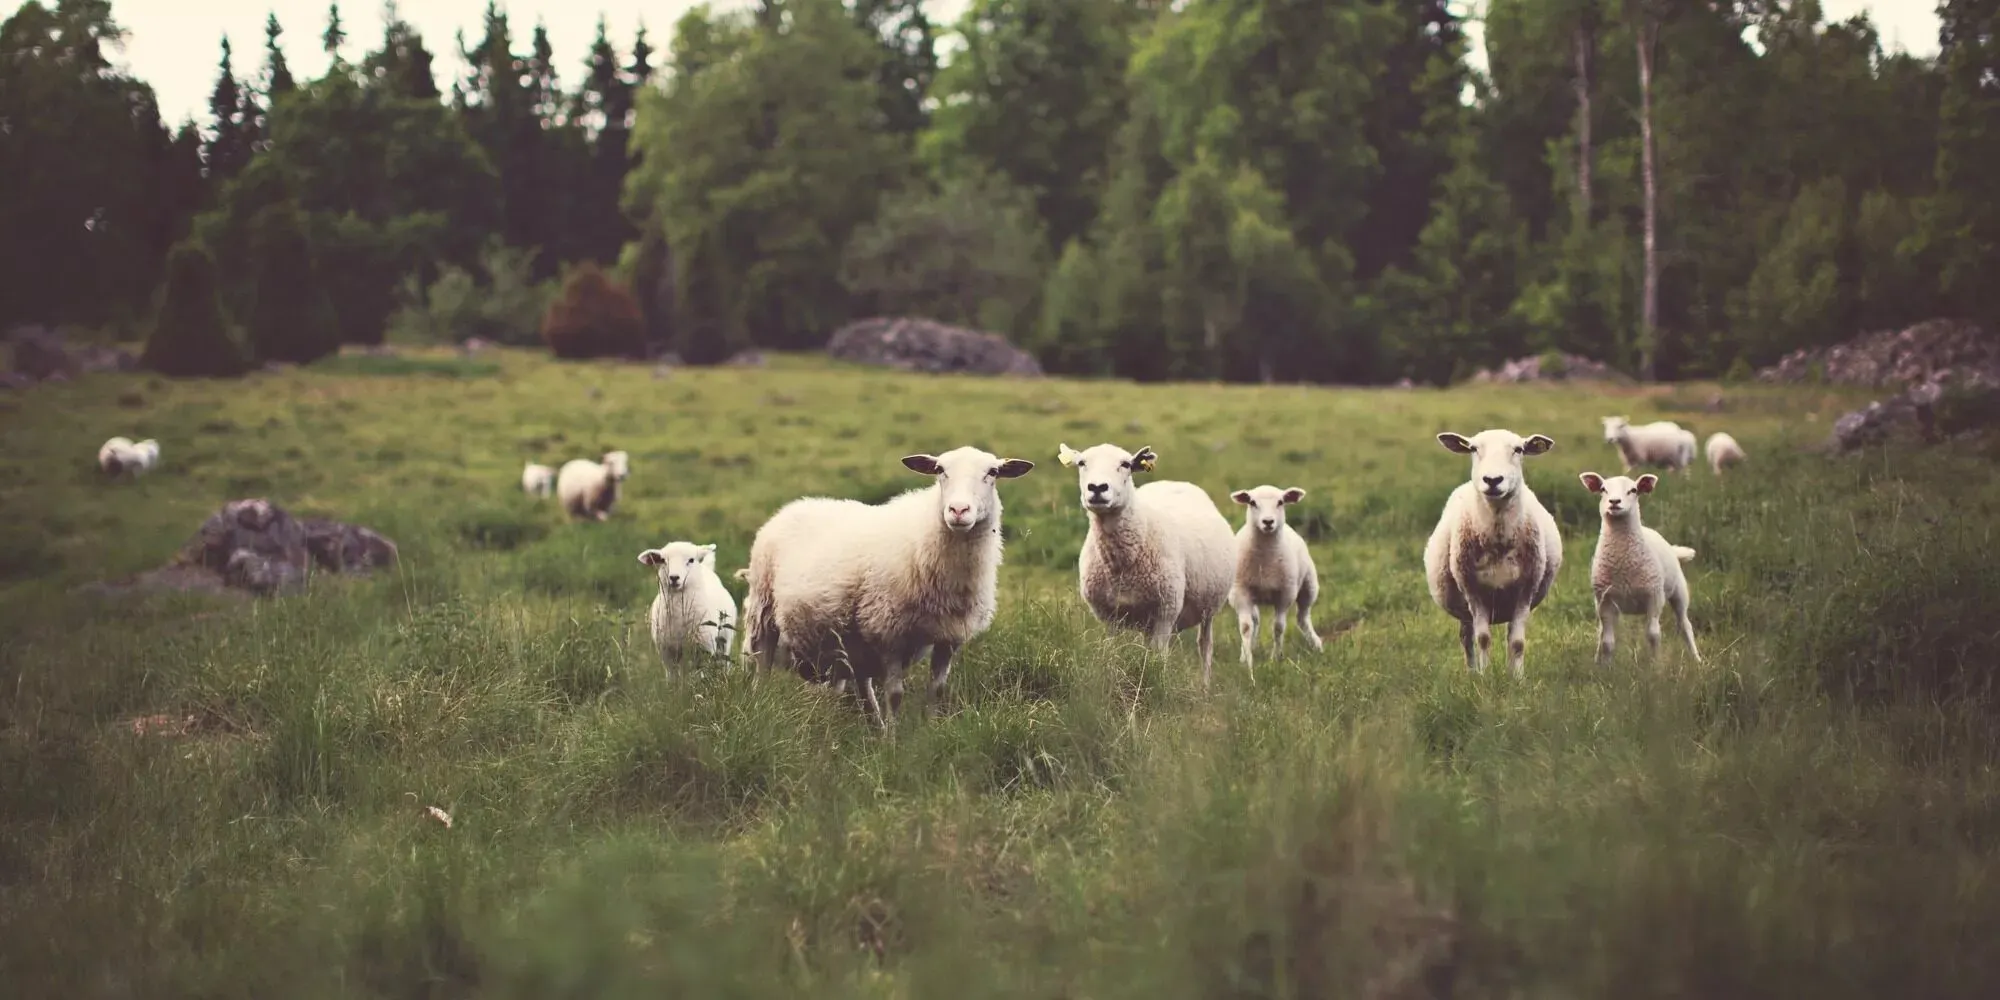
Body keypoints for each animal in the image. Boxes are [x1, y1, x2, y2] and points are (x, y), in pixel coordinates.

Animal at [741, 446, 1036, 725]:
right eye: (940, 470)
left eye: (993, 472)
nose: (959, 511)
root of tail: (794, 506)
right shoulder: (889, 632)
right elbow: (895, 695)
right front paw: (894, 741)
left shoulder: (948, 637)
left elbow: (936, 691)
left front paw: (930, 731)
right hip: (764, 610)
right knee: (762, 666)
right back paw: (759, 705)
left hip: (852, 640)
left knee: (860, 683)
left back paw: (873, 725)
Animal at [1058, 442, 1237, 689]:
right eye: (1081, 463)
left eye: (1125, 464)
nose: (1097, 487)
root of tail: (1174, 483)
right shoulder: (1109, 615)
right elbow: (1112, 652)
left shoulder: (1165, 611)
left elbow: (1159, 658)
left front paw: (1157, 685)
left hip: (1208, 608)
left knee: (1205, 646)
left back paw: (1205, 687)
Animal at [1227, 485, 1324, 677]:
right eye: (1252, 502)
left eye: (1280, 502)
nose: (1268, 522)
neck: (1265, 558)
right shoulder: (1241, 592)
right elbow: (1246, 627)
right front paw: (1248, 664)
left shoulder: (1285, 593)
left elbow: (1278, 627)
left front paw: (1275, 659)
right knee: (1255, 620)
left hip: (1309, 586)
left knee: (1303, 618)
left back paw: (1316, 645)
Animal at [1423, 429, 1564, 677]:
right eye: (1473, 449)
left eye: (1519, 449)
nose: (1492, 480)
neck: (1498, 539)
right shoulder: (1473, 590)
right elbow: (1483, 639)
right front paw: (1485, 677)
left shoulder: (1526, 589)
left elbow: (1517, 643)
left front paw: (1517, 678)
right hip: (1465, 606)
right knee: (1466, 637)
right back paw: (1472, 673)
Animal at [1578, 472, 1701, 665]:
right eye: (1603, 489)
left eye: (1633, 490)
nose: (1614, 501)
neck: (1623, 562)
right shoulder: (1606, 602)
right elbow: (1607, 641)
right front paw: (1606, 667)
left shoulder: (1654, 597)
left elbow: (1653, 635)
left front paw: (1656, 666)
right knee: (1600, 632)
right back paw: (1597, 660)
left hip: (1679, 592)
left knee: (1685, 625)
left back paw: (1697, 660)